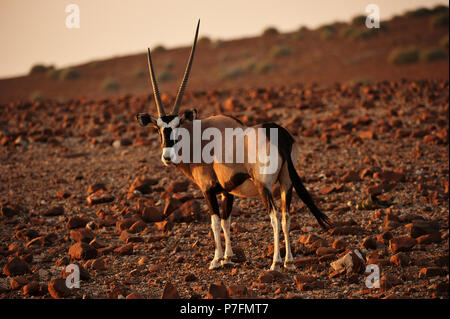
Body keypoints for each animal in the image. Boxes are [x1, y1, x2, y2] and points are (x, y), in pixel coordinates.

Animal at [135, 20, 332, 272]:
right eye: (158, 128)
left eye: (178, 125)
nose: (167, 157)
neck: (199, 137)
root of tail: (278, 134)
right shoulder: (227, 191)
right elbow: (227, 221)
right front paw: (228, 257)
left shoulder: (208, 190)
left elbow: (214, 222)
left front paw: (216, 260)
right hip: (286, 183)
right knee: (287, 216)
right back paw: (289, 261)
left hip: (265, 186)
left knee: (275, 217)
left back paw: (275, 262)